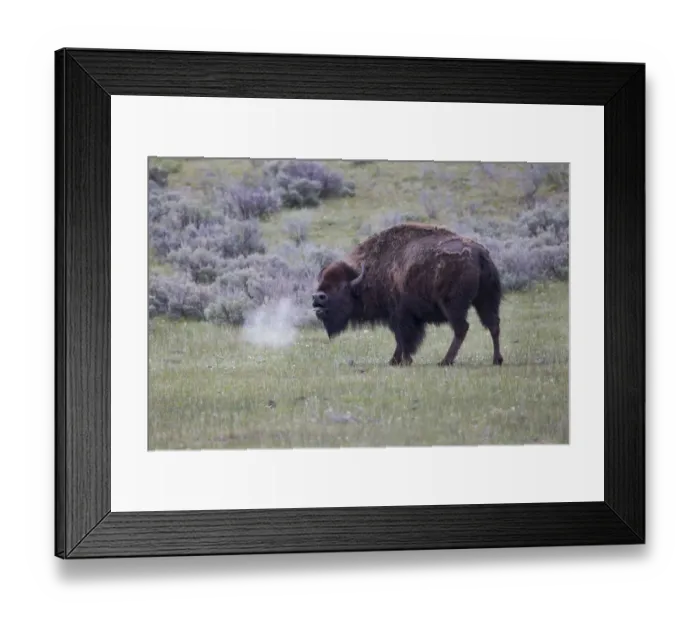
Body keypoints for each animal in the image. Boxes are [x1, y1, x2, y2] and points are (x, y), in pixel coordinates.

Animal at [312, 222, 503, 367]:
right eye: (322, 283)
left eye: (340, 288)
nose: (317, 297)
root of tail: (480, 253)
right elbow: (403, 340)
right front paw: (395, 361)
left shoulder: (400, 316)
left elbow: (403, 338)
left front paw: (402, 360)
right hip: (486, 300)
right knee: (493, 325)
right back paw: (497, 360)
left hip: (453, 305)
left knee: (462, 328)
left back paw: (445, 361)